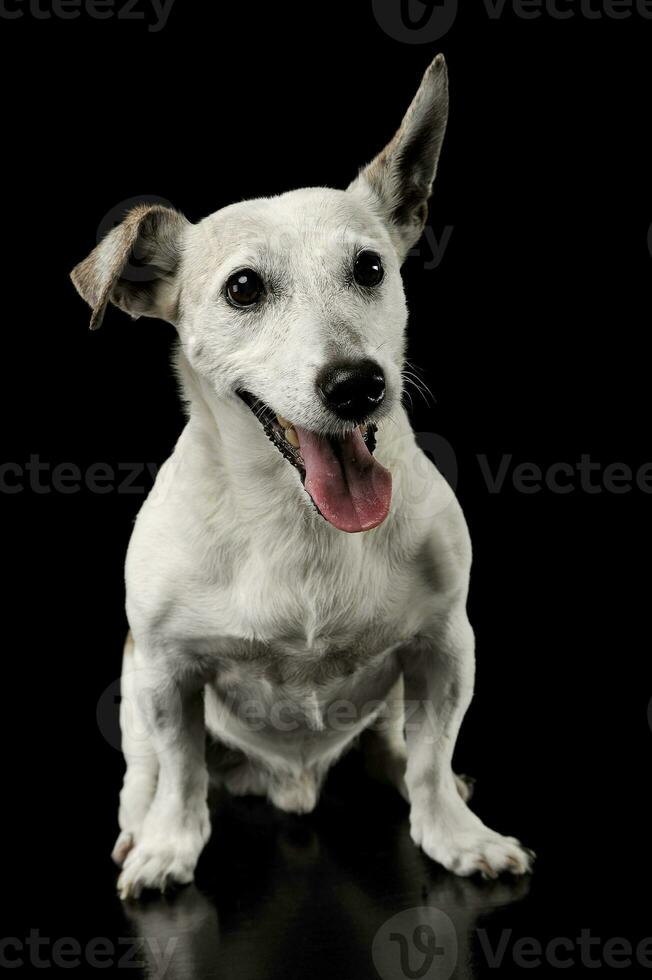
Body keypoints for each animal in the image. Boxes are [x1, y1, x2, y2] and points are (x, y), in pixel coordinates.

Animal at [71, 51, 532, 896]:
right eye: (243, 288)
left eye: (370, 267)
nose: (357, 385)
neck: (298, 520)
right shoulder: (165, 671)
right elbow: (181, 771)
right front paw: (168, 844)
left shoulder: (446, 647)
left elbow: (430, 757)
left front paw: (455, 833)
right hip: (132, 685)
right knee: (149, 769)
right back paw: (137, 825)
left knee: (402, 748)